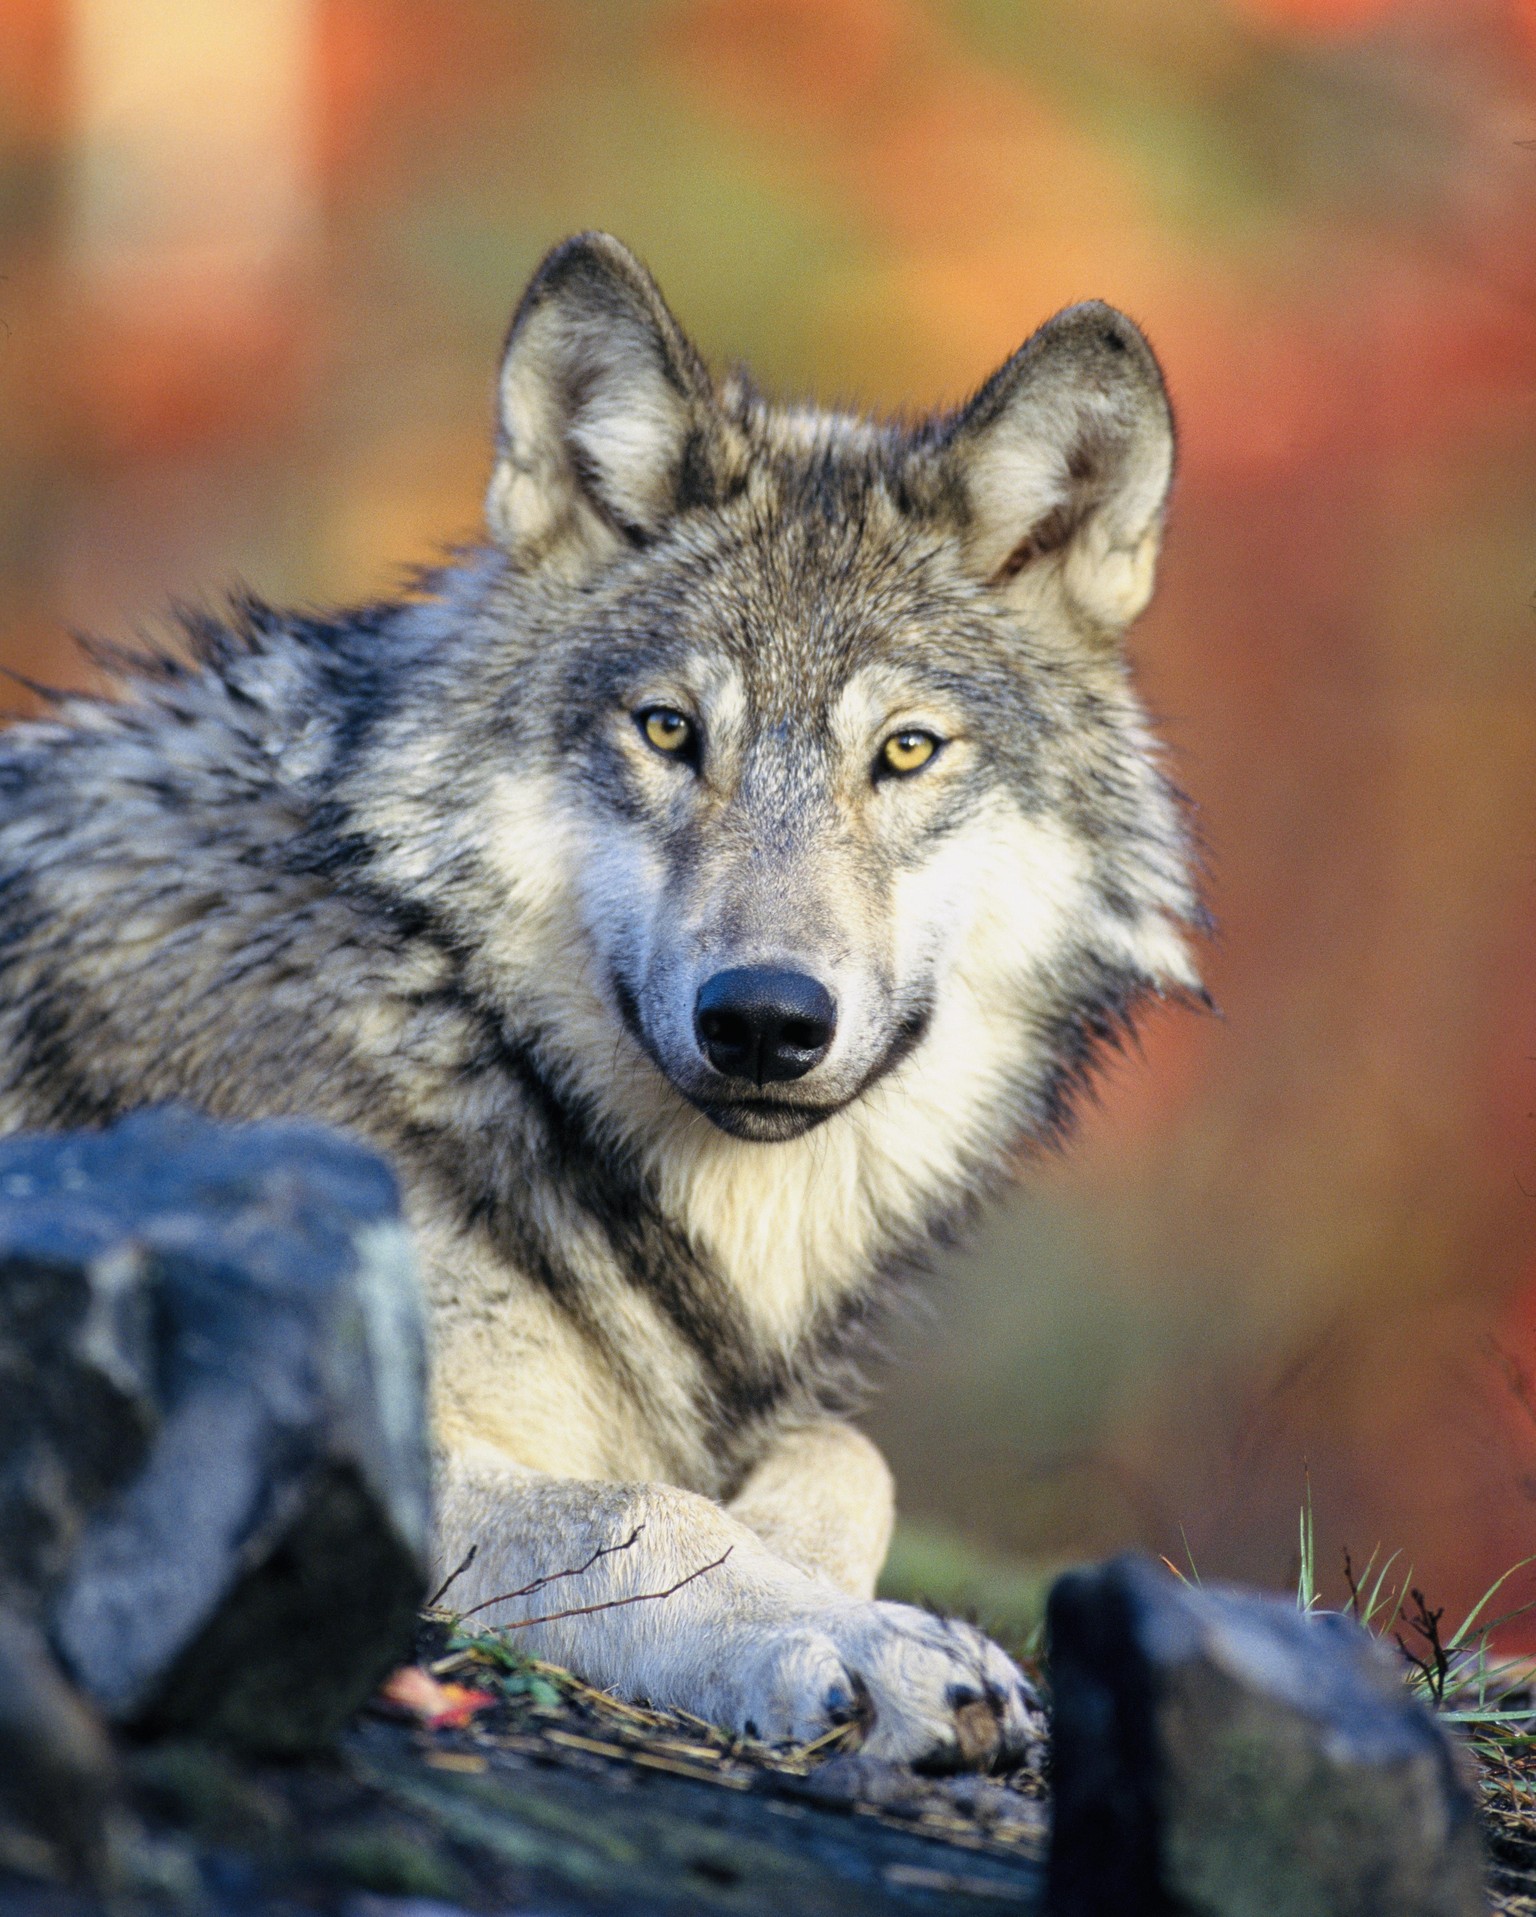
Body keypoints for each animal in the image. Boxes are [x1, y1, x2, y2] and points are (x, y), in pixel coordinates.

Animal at [0, 234, 1200, 1771]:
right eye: (671, 731)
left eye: (906, 751)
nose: (765, 1019)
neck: (454, 1019)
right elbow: (644, 1510)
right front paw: (865, 1643)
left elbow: (846, 1454)